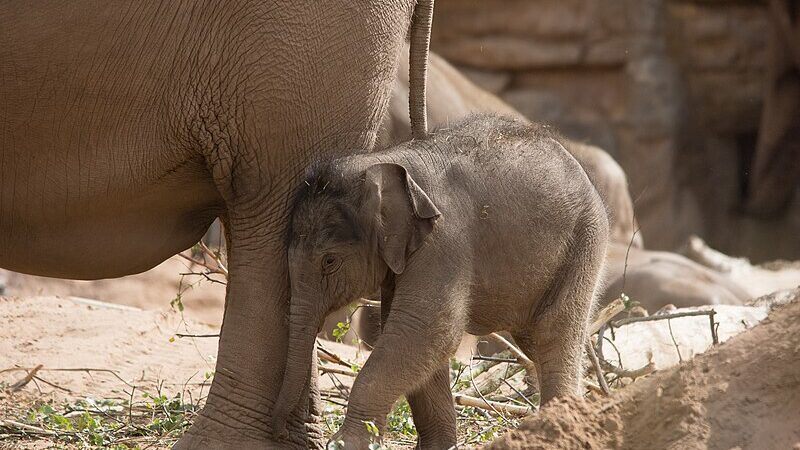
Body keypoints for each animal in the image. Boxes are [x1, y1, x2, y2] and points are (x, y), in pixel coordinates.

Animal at [270, 114, 608, 448]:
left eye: (329, 261)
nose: (280, 431)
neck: (382, 162)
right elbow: (411, 334)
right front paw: (437, 445)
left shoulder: (444, 241)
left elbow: (427, 328)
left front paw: (346, 442)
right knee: (534, 341)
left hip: (586, 238)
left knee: (554, 333)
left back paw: (556, 429)